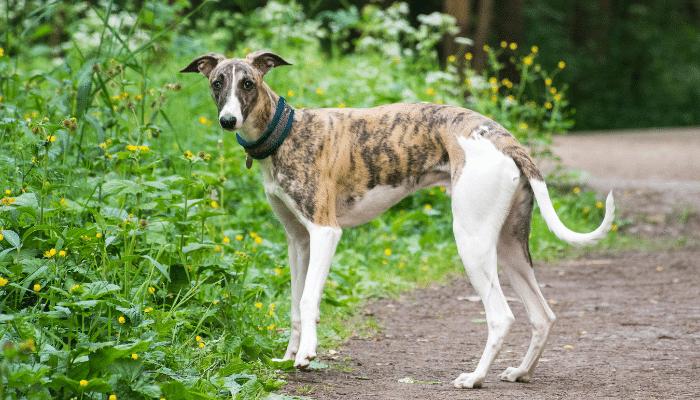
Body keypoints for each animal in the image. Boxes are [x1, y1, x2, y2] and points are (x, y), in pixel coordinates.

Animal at [180, 50, 612, 388]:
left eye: (248, 84)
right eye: (217, 83)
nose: (228, 120)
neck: (286, 132)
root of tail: (504, 139)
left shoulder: (325, 232)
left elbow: (307, 298)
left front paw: (306, 355)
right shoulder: (298, 241)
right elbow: (293, 304)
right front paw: (289, 357)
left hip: (470, 239)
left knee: (501, 316)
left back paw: (474, 378)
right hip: (509, 247)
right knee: (543, 315)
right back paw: (520, 373)